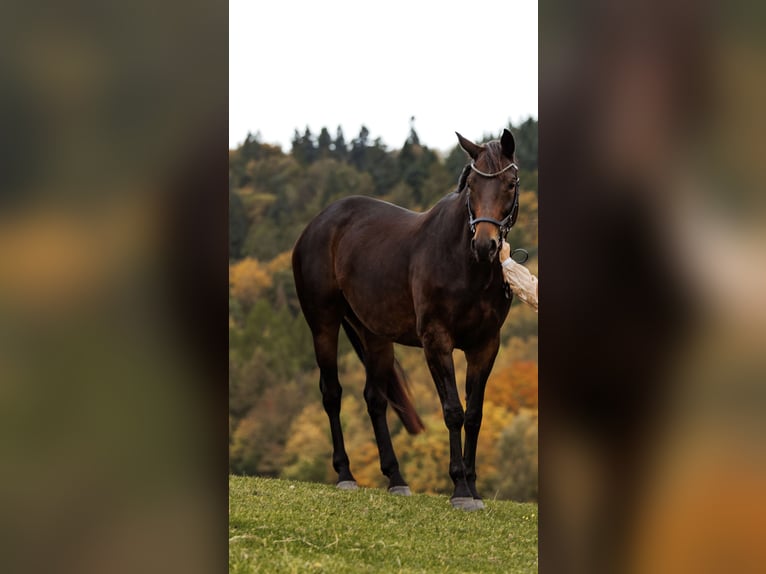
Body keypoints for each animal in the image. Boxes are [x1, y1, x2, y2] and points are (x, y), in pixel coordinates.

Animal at [294, 129, 520, 508]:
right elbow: (452, 410)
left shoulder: (486, 345)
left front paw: (473, 489)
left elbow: (474, 414)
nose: (485, 245)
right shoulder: (436, 341)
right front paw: (459, 489)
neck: (463, 264)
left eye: (510, 183)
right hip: (322, 324)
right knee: (332, 393)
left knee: (375, 399)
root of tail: (317, 223)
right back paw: (345, 474)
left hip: (374, 335)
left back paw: (396, 478)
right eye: (472, 184)